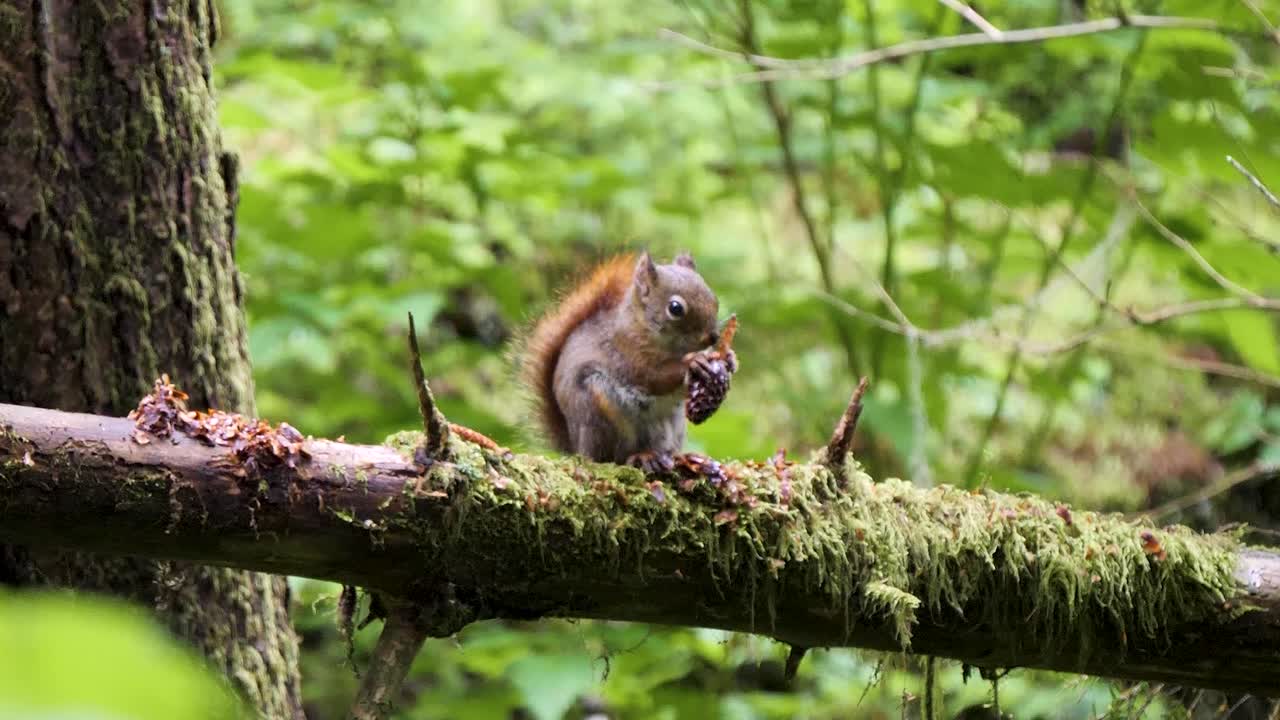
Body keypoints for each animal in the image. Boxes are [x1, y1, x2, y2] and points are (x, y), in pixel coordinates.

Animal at [520, 251, 736, 472]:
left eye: (713, 298)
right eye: (675, 308)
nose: (713, 337)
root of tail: (577, 448)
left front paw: (729, 358)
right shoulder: (629, 354)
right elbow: (654, 377)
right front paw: (693, 361)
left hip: (672, 426)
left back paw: (679, 456)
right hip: (601, 410)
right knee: (614, 457)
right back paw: (640, 457)